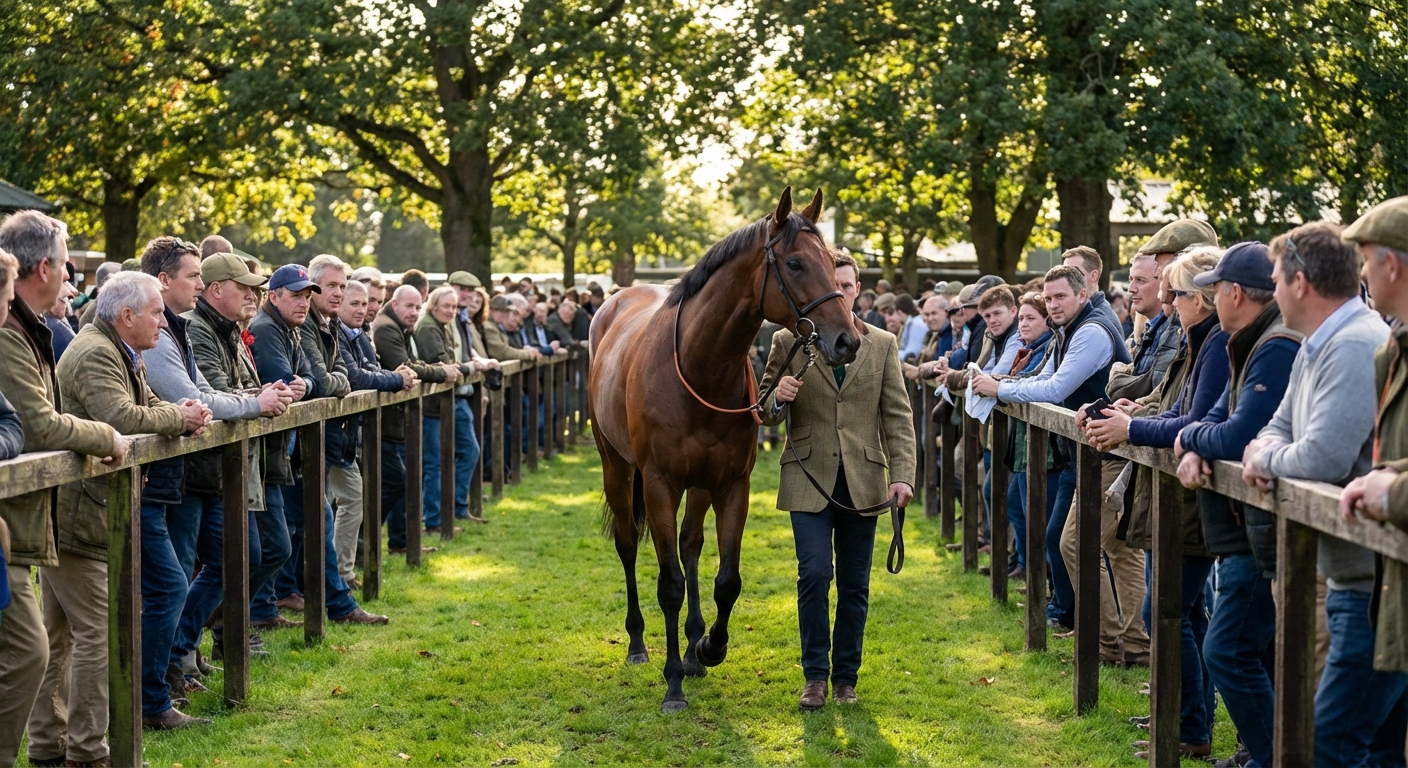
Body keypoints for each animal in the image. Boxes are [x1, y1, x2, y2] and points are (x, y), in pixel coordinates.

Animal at [588, 187, 861, 712]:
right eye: (795, 263)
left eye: (830, 260)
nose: (847, 340)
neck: (699, 365)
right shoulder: (659, 485)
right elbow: (669, 584)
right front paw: (673, 683)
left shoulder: (732, 485)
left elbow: (726, 580)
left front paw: (708, 648)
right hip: (617, 466)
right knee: (629, 546)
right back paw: (638, 644)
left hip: (699, 485)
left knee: (691, 546)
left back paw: (694, 645)